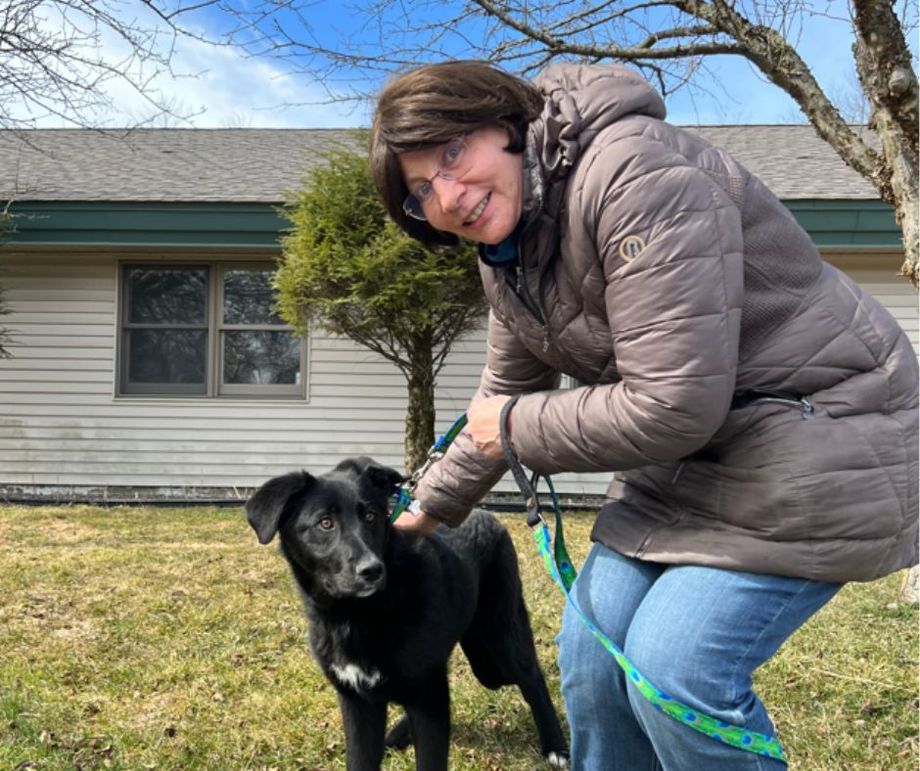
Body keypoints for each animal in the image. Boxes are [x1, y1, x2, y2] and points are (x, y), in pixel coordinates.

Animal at [243, 458, 568, 771]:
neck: (357, 616)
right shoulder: (360, 703)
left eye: (371, 516)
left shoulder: (427, 699)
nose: (372, 570)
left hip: (499, 642)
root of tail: (485, 514)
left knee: (532, 678)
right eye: (325, 523)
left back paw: (556, 746)